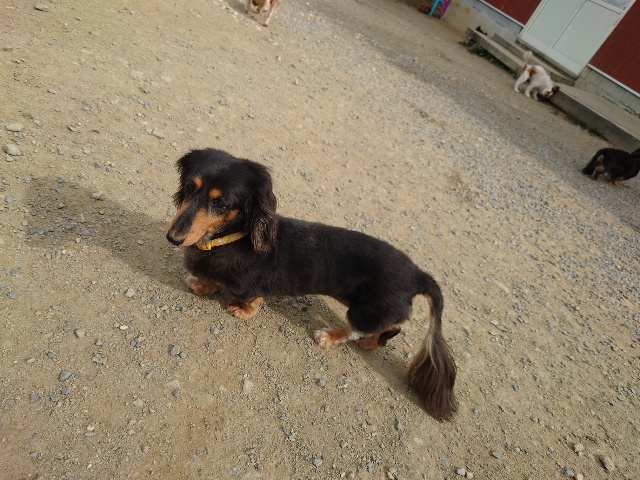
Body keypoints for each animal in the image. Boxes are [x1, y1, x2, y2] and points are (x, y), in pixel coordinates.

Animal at [166, 149, 457, 421]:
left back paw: (330, 337)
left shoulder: (251, 287)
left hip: (364, 309)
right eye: (190, 187)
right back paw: (371, 343)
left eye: (219, 202)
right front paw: (201, 284)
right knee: (390, 326)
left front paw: (240, 309)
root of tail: (419, 274)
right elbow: (211, 281)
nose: (173, 238)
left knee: (356, 328)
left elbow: (248, 299)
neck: (232, 238)